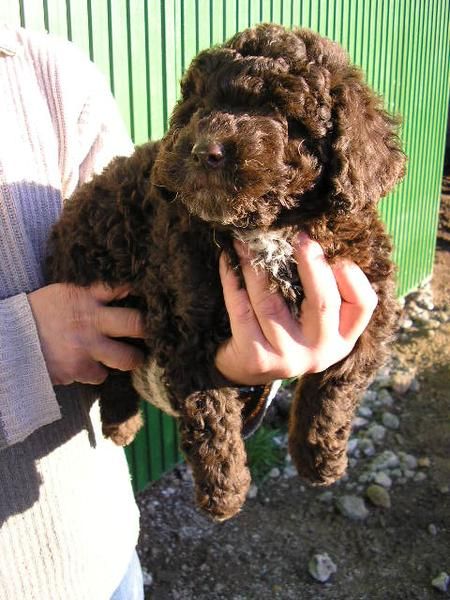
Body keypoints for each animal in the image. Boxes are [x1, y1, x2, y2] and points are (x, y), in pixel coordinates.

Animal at [47, 24, 406, 520]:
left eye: (283, 113)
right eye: (201, 106)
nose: (205, 151)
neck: (269, 228)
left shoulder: (371, 305)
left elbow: (337, 386)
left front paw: (319, 460)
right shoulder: (183, 327)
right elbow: (211, 416)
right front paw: (225, 492)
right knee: (111, 367)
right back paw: (123, 422)